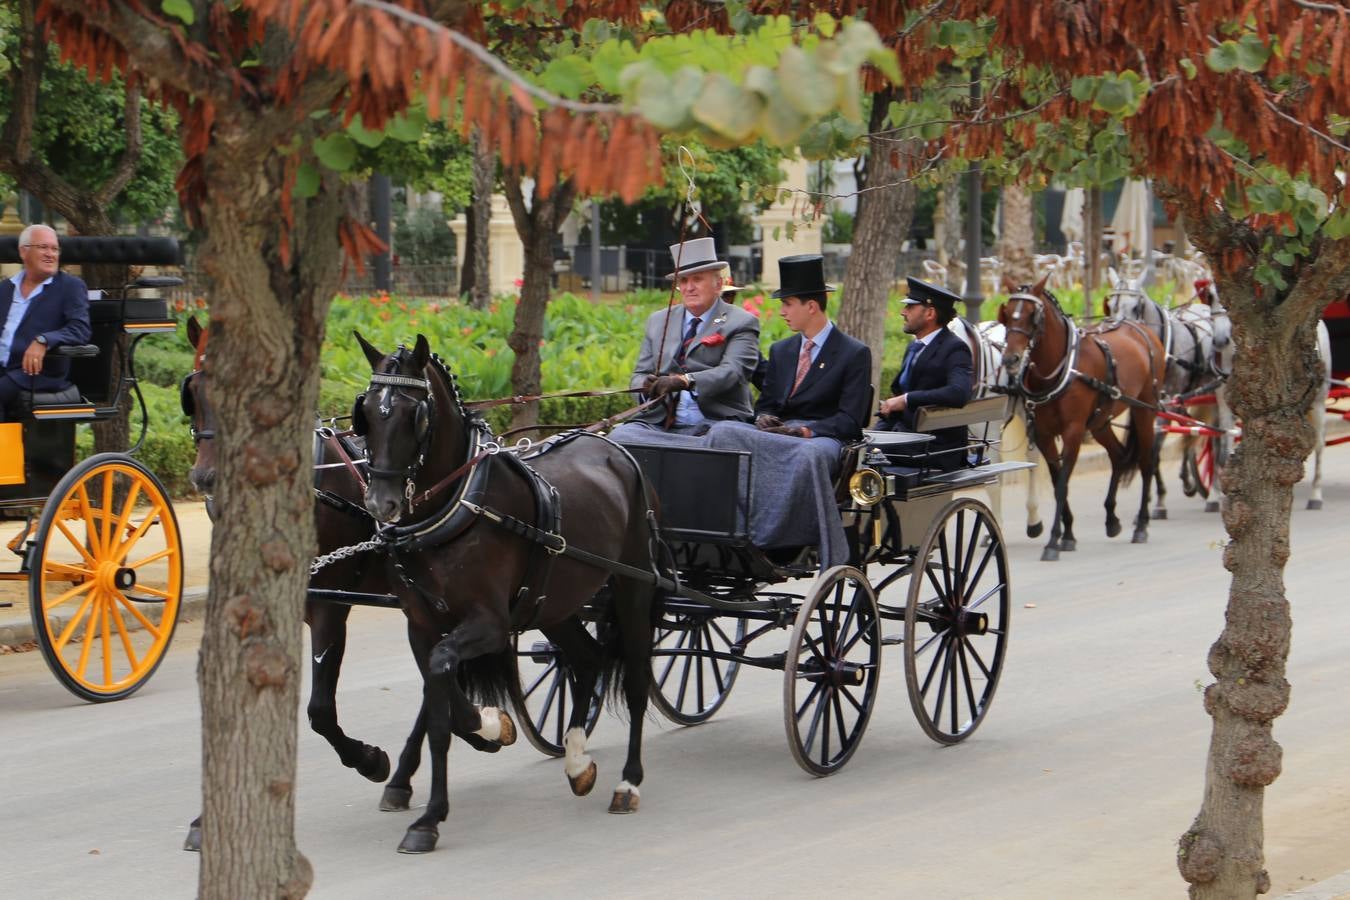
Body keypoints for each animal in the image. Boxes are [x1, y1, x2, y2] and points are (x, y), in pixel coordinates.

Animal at [999, 277, 1166, 558]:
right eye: (1007, 314)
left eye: (1033, 316)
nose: (1010, 358)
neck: (1059, 369)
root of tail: (1141, 329)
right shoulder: (1043, 435)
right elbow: (1057, 481)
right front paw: (1068, 534)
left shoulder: (1073, 431)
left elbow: (1062, 484)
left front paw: (1053, 541)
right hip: (1100, 421)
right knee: (1118, 455)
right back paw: (1112, 519)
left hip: (1145, 409)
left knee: (1146, 462)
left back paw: (1141, 524)